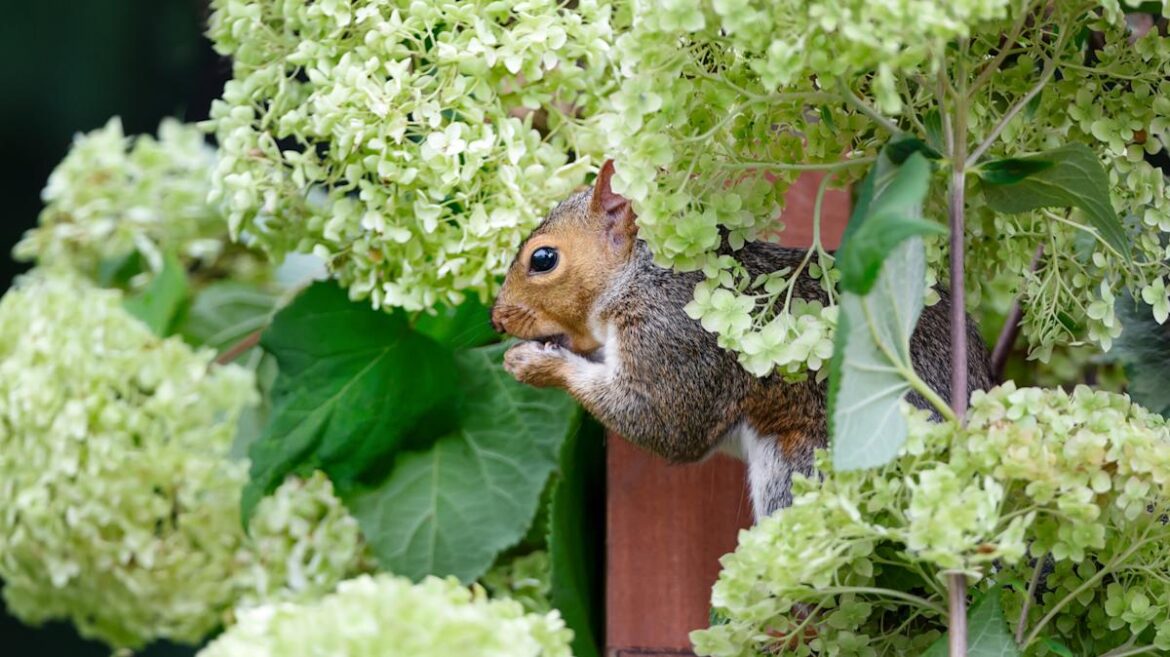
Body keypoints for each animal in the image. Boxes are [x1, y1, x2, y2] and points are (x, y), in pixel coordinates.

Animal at [491, 160, 993, 519]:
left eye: (543, 259)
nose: (497, 319)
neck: (639, 277)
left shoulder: (674, 340)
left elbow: (662, 423)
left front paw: (534, 364)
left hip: (801, 468)